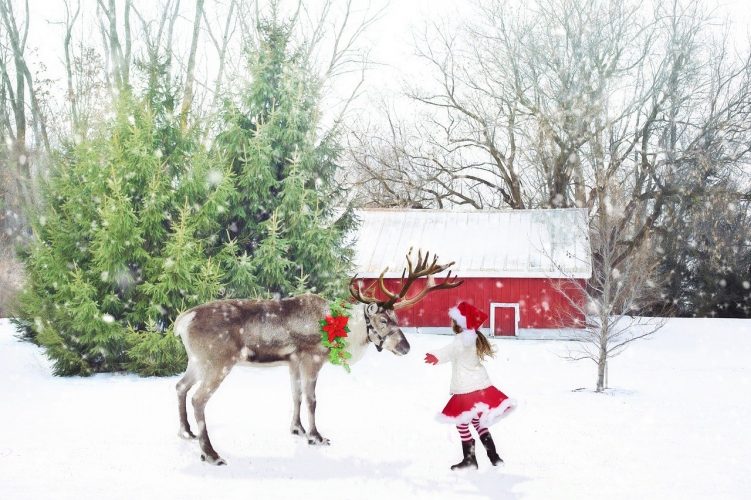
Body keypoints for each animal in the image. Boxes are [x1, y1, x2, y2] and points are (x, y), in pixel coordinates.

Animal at [173, 249, 463, 465]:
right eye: (383, 319)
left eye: (397, 318)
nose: (406, 347)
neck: (341, 330)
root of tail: (182, 321)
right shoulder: (312, 358)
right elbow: (312, 399)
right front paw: (316, 436)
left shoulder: (293, 362)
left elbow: (296, 395)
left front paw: (297, 429)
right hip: (217, 362)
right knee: (198, 399)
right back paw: (211, 454)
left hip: (196, 362)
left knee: (180, 386)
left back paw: (186, 432)